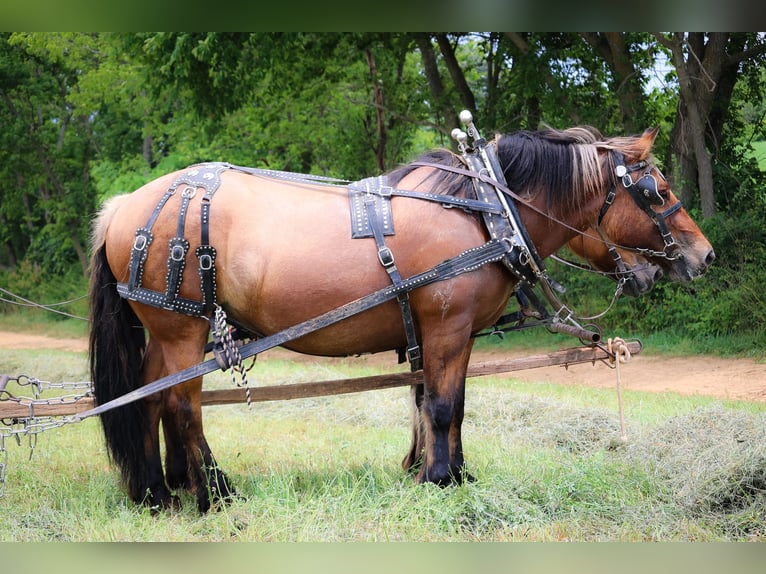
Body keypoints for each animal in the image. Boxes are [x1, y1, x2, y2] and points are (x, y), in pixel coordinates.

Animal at [89, 124, 714, 512]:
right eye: (657, 193)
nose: (704, 256)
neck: (487, 214)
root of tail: (123, 207)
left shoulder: (446, 334)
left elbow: (442, 404)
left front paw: (446, 473)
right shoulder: (447, 326)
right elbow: (440, 405)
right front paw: (439, 479)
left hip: (166, 332)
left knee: (151, 398)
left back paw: (160, 490)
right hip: (184, 326)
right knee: (182, 405)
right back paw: (213, 493)